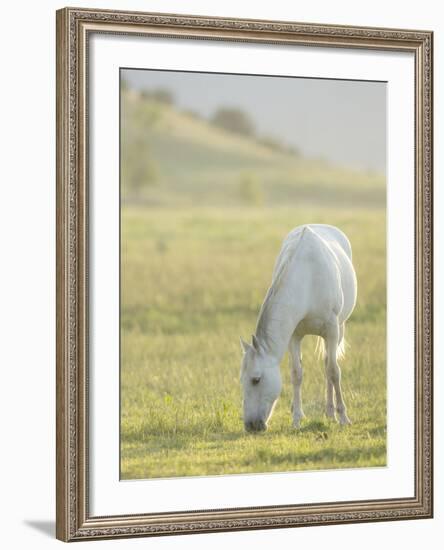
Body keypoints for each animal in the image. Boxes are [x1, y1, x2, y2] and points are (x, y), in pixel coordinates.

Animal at [239, 226, 358, 434]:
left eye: (256, 380)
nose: (250, 426)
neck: (307, 279)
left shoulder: (332, 329)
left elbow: (334, 371)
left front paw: (343, 417)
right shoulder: (293, 336)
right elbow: (296, 374)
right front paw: (296, 419)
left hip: (339, 329)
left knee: (329, 364)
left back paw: (331, 412)